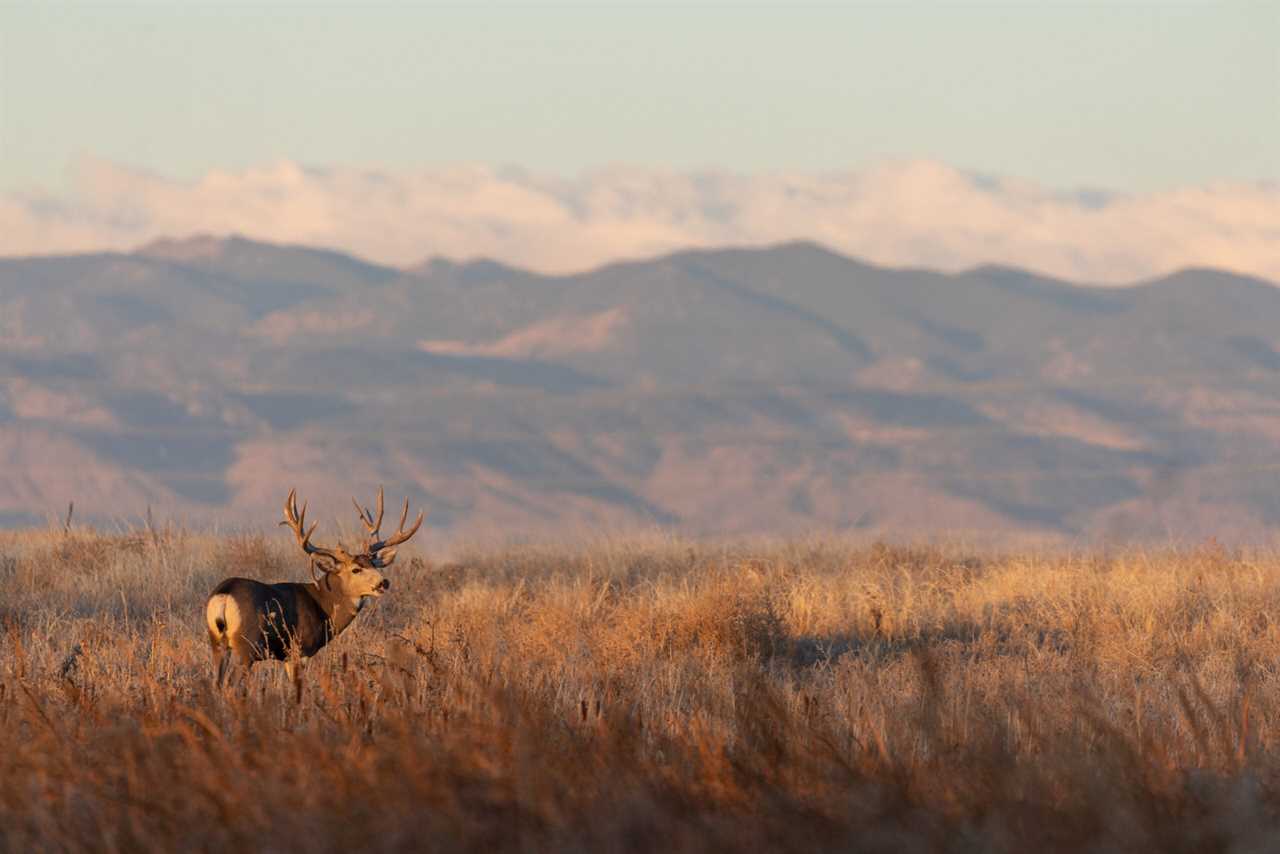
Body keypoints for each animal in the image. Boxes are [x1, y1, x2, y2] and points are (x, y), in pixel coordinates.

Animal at [204, 486, 424, 701]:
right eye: (356, 569)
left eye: (374, 564)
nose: (383, 583)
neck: (323, 606)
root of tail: (224, 594)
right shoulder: (300, 649)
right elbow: (297, 690)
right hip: (246, 645)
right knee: (230, 685)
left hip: (217, 642)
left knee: (216, 683)